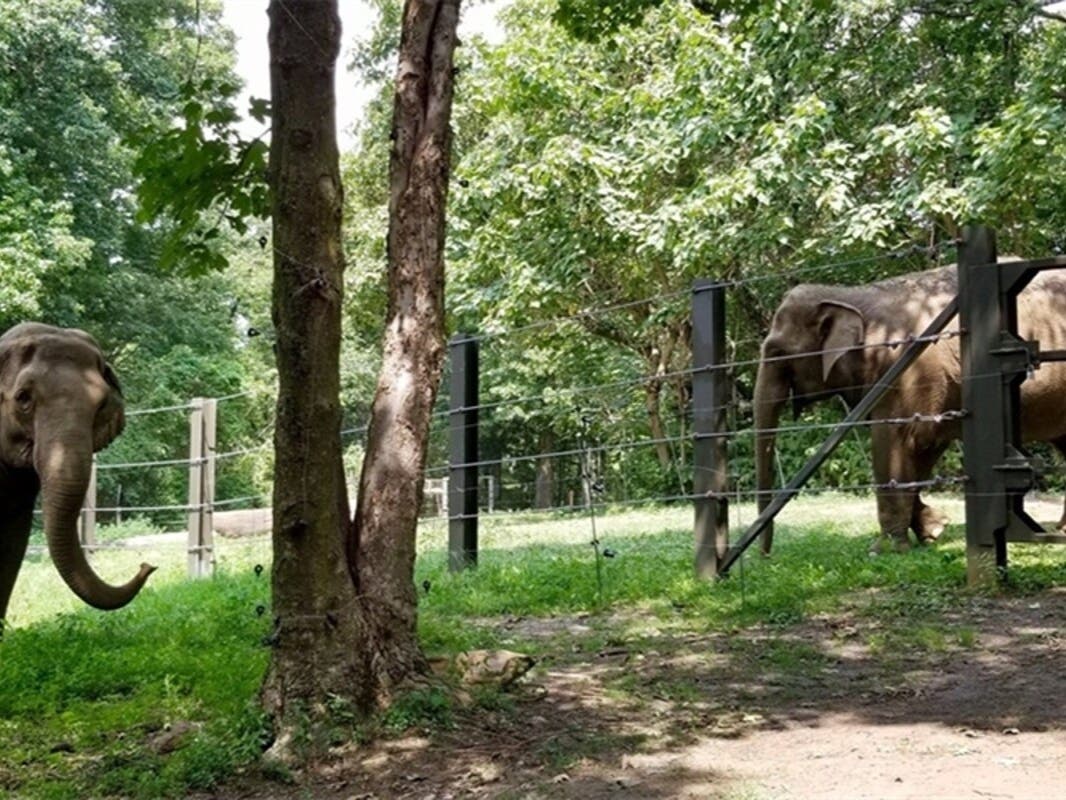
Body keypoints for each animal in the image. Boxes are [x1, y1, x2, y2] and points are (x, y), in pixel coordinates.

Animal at [754, 263, 1066, 558]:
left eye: (777, 353)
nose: (765, 555)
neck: (850, 295)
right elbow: (924, 448)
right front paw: (934, 529)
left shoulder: (910, 370)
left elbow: (899, 442)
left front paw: (884, 550)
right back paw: (1061, 529)